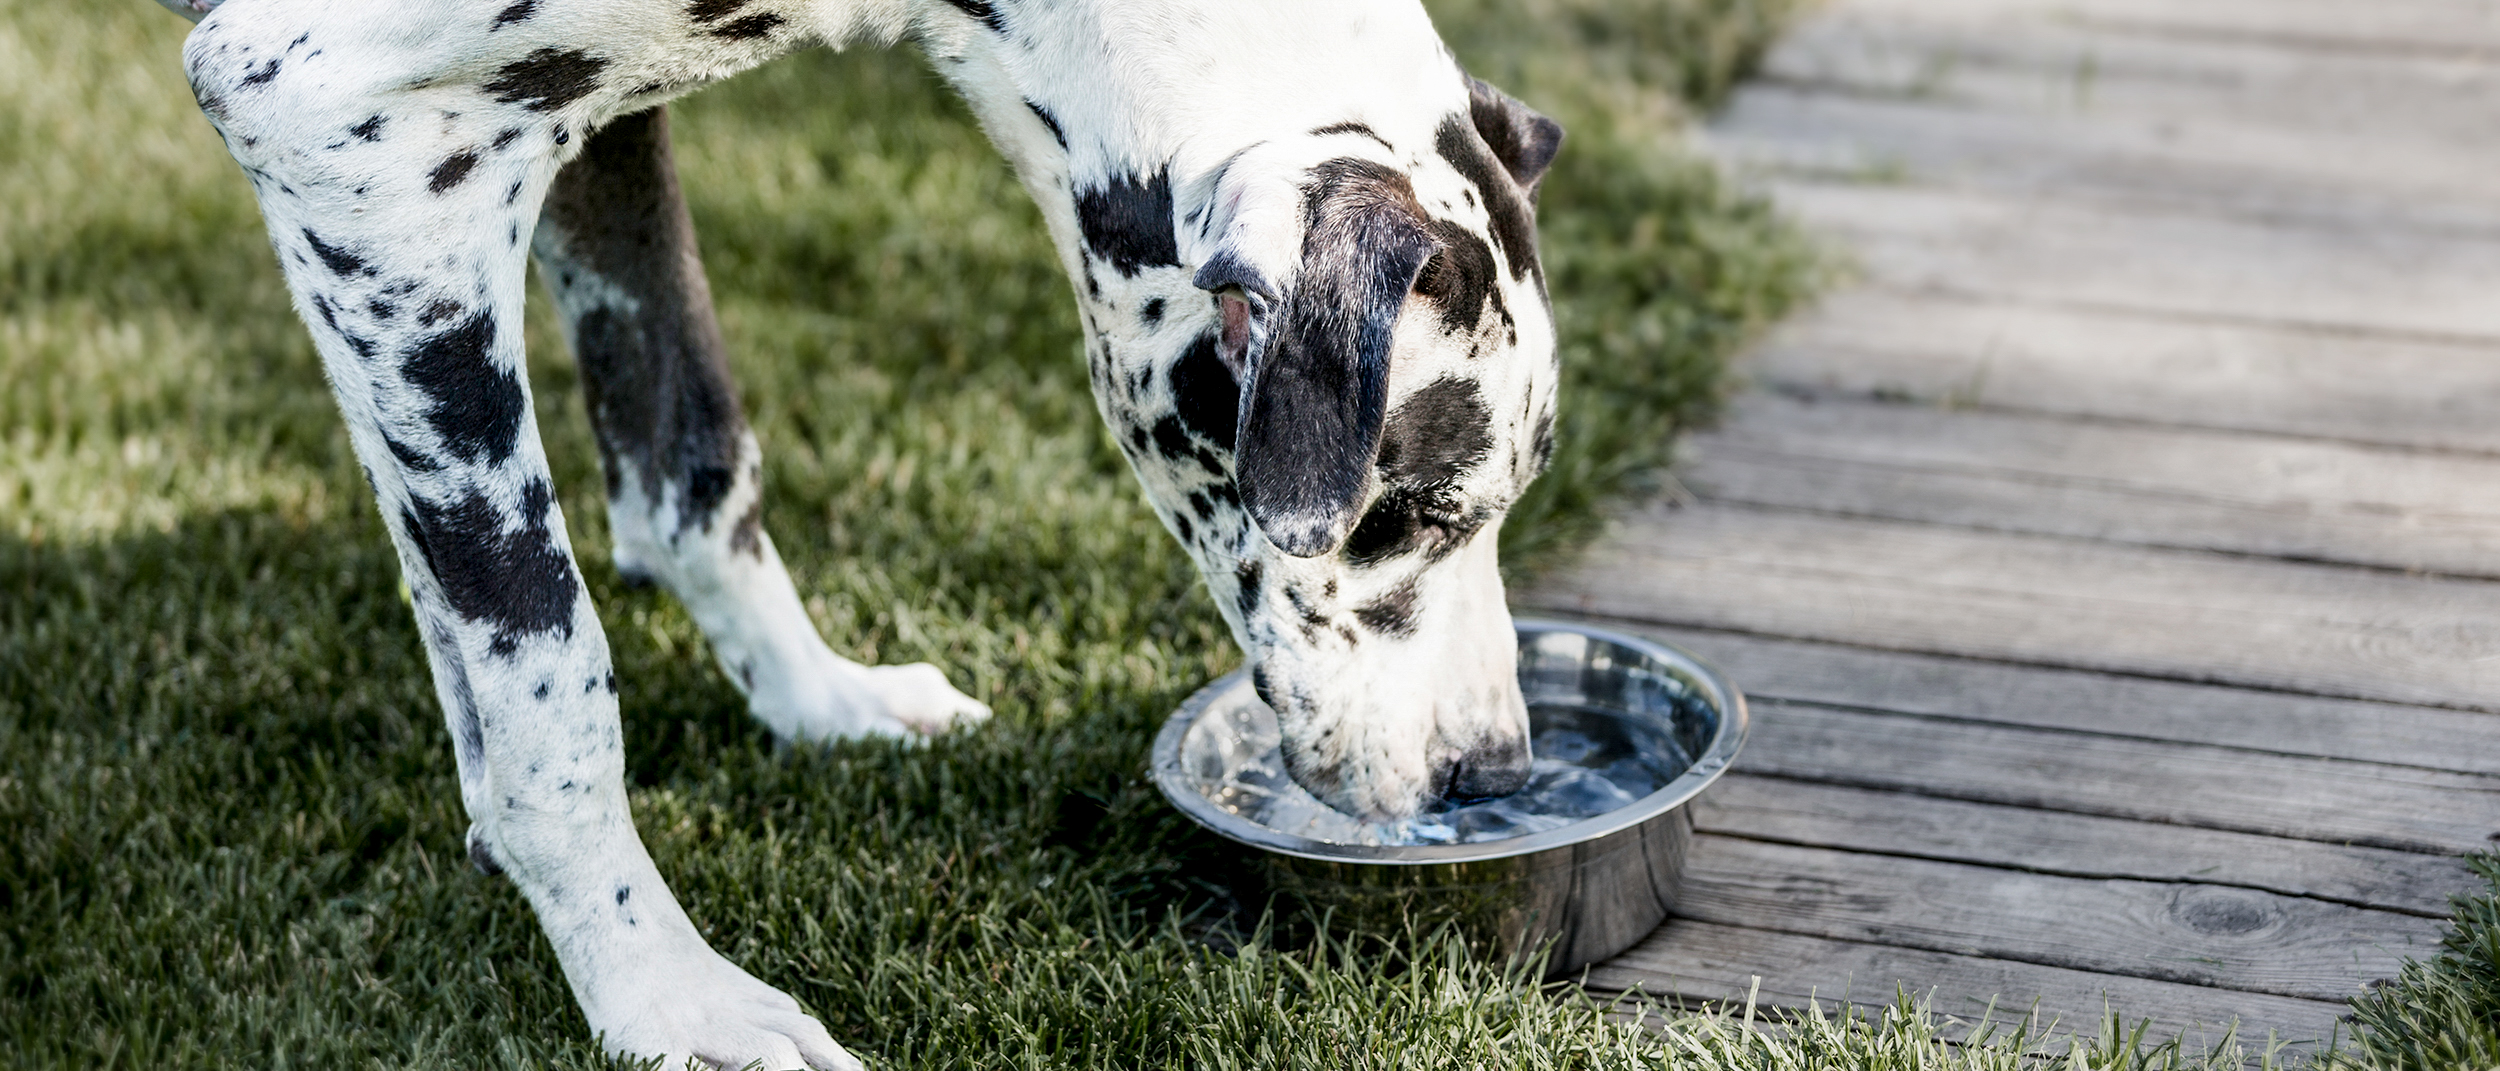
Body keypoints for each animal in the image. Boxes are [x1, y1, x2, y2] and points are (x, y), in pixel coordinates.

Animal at [156, 0, 1560, 1060]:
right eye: (1408, 514)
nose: (1492, 774)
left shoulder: (566, 124)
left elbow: (686, 463)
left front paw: (813, 698)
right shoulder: (348, 136)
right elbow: (547, 669)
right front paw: (657, 989)